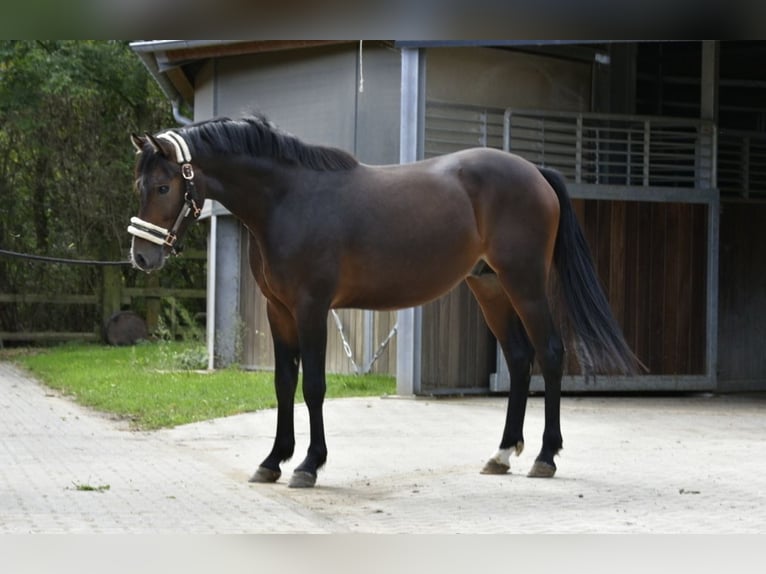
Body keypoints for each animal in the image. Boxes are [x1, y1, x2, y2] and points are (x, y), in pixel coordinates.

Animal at [130, 116, 640, 490]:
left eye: (163, 187)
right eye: (140, 187)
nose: (141, 256)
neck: (288, 199)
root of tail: (535, 172)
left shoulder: (312, 308)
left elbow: (313, 385)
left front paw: (308, 465)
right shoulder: (280, 311)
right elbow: (283, 384)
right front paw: (273, 460)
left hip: (525, 282)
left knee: (550, 354)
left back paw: (545, 456)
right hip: (490, 286)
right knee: (518, 358)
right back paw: (501, 454)